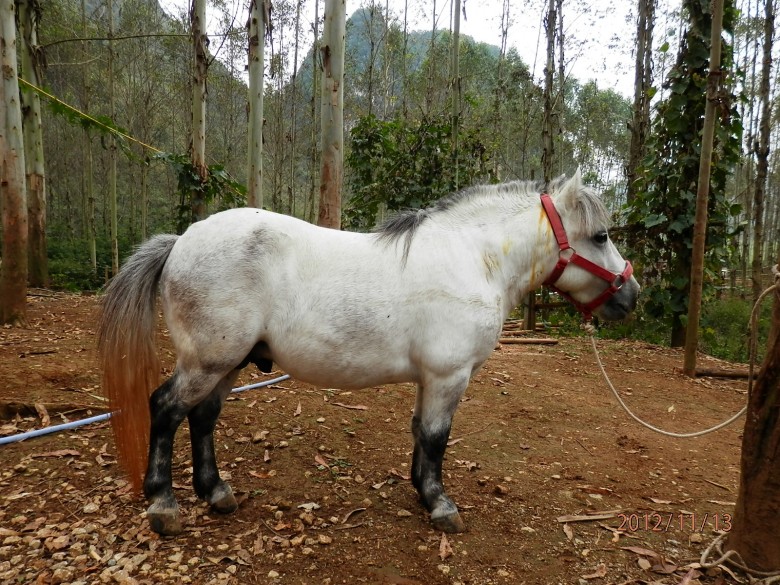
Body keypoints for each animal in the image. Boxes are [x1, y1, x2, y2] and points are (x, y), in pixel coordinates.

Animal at [97, 171, 639, 536]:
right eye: (601, 236)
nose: (631, 295)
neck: (474, 258)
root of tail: (181, 241)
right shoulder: (448, 376)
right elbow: (437, 438)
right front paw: (440, 505)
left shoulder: (431, 379)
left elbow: (421, 435)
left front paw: (422, 492)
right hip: (207, 361)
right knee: (166, 409)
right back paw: (163, 505)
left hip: (226, 364)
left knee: (203, 418)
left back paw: (215, 493)